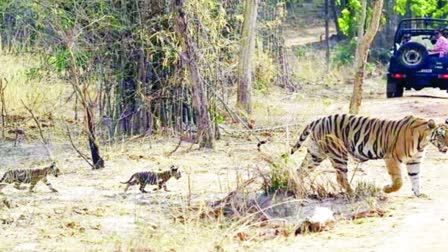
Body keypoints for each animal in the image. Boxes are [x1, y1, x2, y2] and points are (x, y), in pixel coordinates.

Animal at [290, 114, 448, 197]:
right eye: (441, 135)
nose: (447, 146)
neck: (423, 141)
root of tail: (318, 120)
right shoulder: (391, 157)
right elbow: (398, 182)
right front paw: (386, 189)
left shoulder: (414, 161)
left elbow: (415, 178)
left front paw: (418, 194)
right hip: (338, 153)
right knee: (340, 177)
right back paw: (352, 193)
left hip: (315, 154)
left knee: (300, 171)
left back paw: (297, 190)